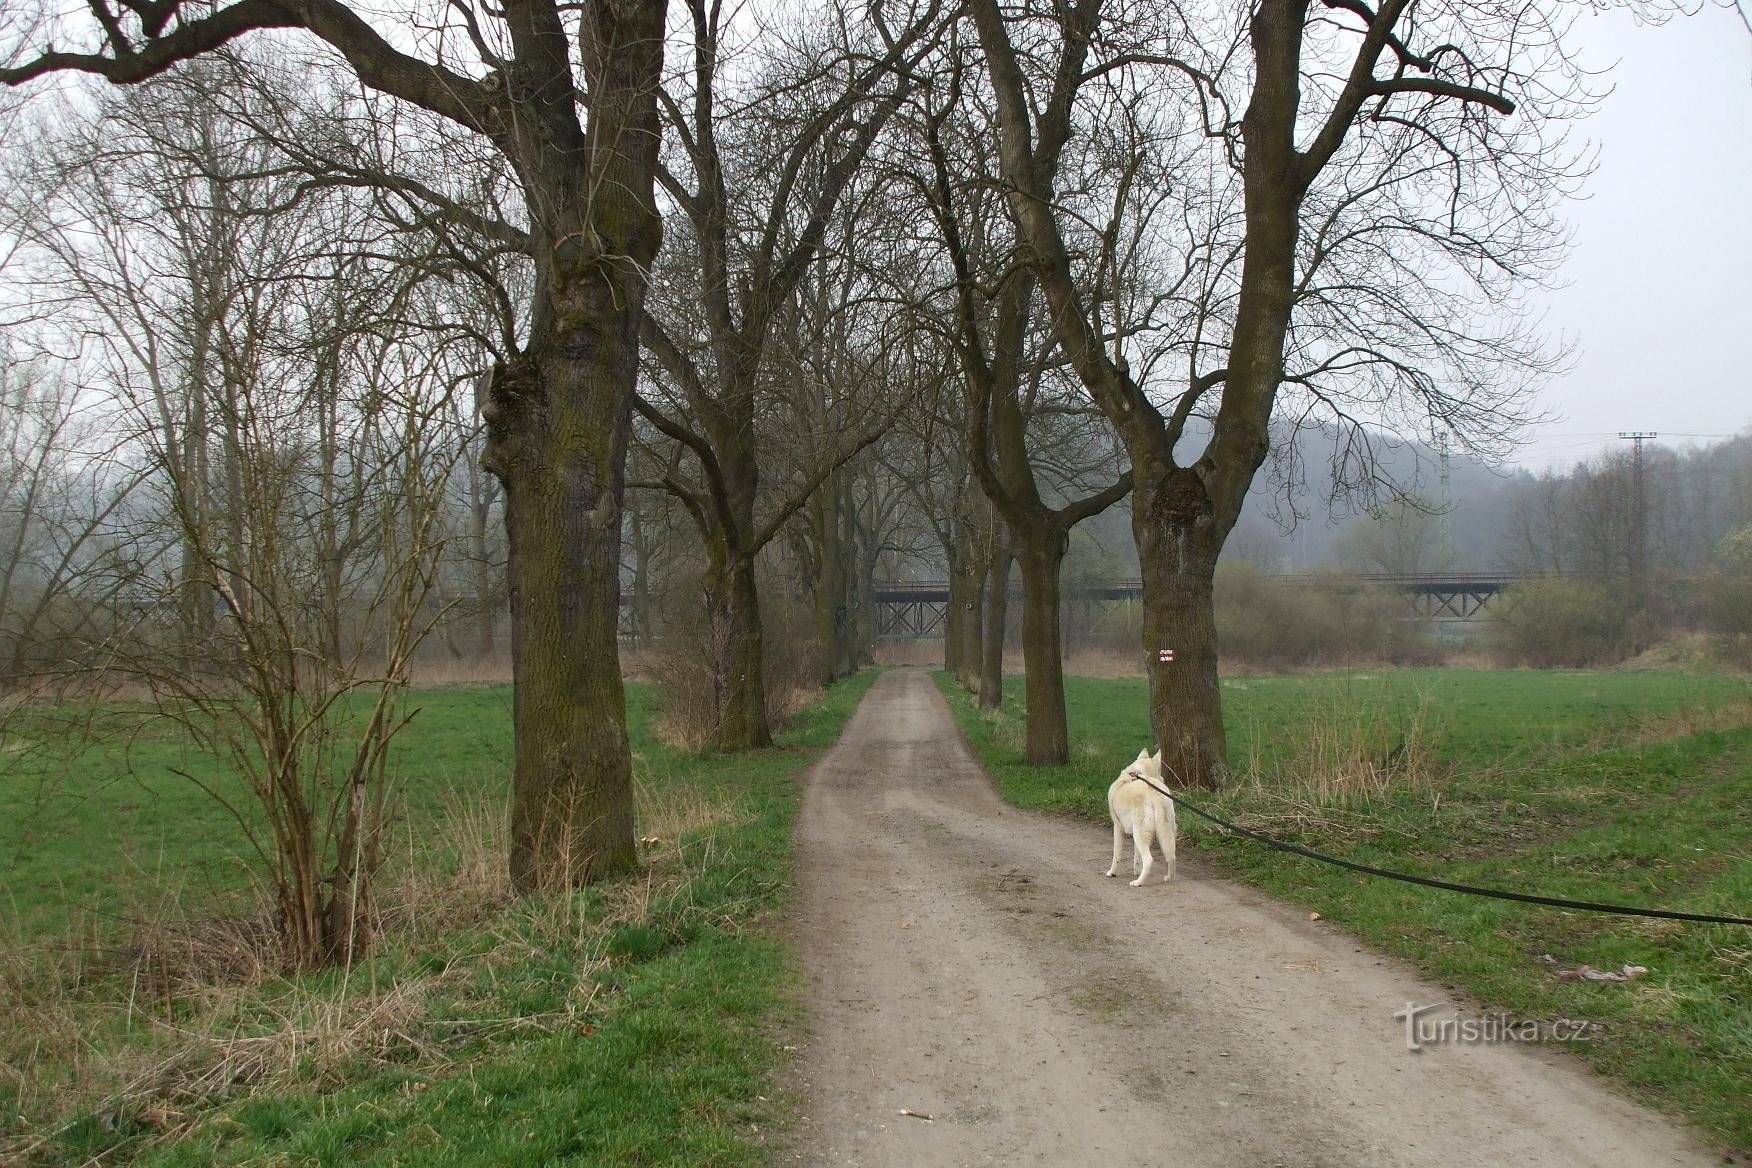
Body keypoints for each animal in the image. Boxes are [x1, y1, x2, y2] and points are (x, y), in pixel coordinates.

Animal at [1107, 749, 1177, 886]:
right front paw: (1136, 871)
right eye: (1160, 773)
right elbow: (1137, 858)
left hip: (1140, 833)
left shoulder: (1118, 828)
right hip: (1164, 832)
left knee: (1149, 860)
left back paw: (1138, 882)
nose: (1163, 779)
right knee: (1171, 856)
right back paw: (1169, 877)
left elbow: (1116, 855)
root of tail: (1156, 793)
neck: (1137, 774)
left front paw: (1112, 873)